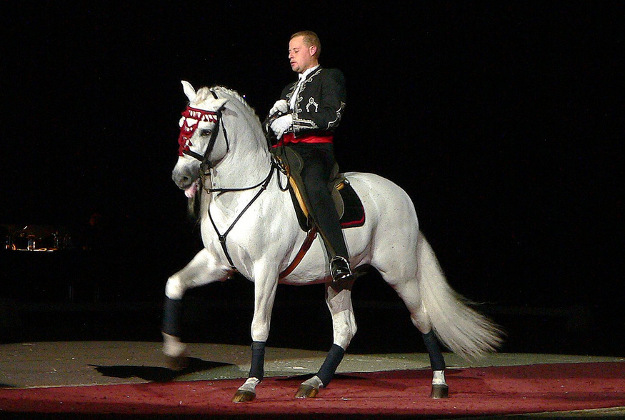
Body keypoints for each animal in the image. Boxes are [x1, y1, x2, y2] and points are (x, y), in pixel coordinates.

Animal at [163, 81, 500, 400]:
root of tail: (401, 195)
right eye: (182, 124)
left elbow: (259, 324)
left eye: (206, 130)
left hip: (400, 274)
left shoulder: (266, 269)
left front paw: (249, 384)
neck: (243, 192)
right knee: (345, 330)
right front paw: (174, 354)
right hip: (340, 280)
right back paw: (314, 382)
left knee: (422, 318)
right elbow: (174, 284)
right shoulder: (217, 263)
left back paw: (439, 382)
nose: (180, 178)